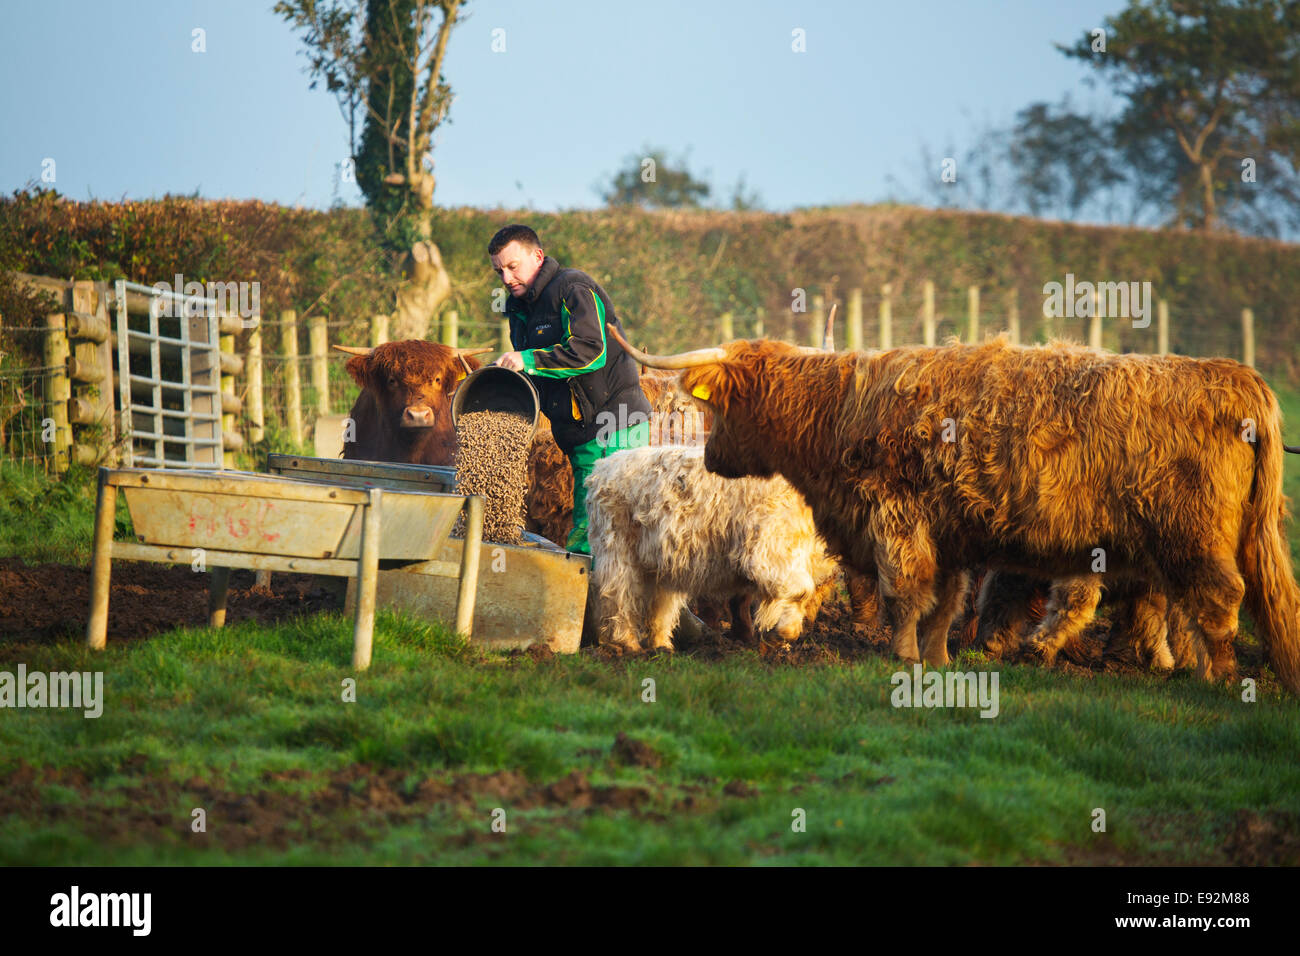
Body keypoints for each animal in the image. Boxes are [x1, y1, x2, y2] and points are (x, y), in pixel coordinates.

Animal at [616, 329, 1300, 697]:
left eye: (718, 406)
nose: (711, 457)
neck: (836, 415)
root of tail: (1242, 380)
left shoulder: (898, 518)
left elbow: (904, 594)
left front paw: (903, 656)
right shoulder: (948, 535)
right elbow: (944, 603)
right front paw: (941, 658)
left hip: (1195, 537)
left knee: (1220, 601)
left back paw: (1218, 677)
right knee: (1251, 600)